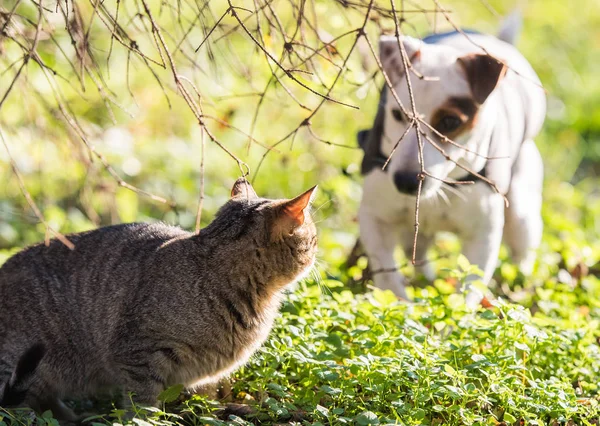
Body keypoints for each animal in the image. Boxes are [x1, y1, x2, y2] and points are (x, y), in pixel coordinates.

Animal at [0, 179, 318, 420]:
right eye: (314, 238)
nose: (318, 250)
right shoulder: (136, 353)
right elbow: (143, 406)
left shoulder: (204, 378)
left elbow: (206, 401)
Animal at [356, 20, 548, 306]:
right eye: (397, 115)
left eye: (450, 122)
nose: (405, 182)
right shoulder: (375, 216)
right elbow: (389, 277)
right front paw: (403, 309)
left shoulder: (482, 235)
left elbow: (467, 291)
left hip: (522, 214)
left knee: (522, 254)